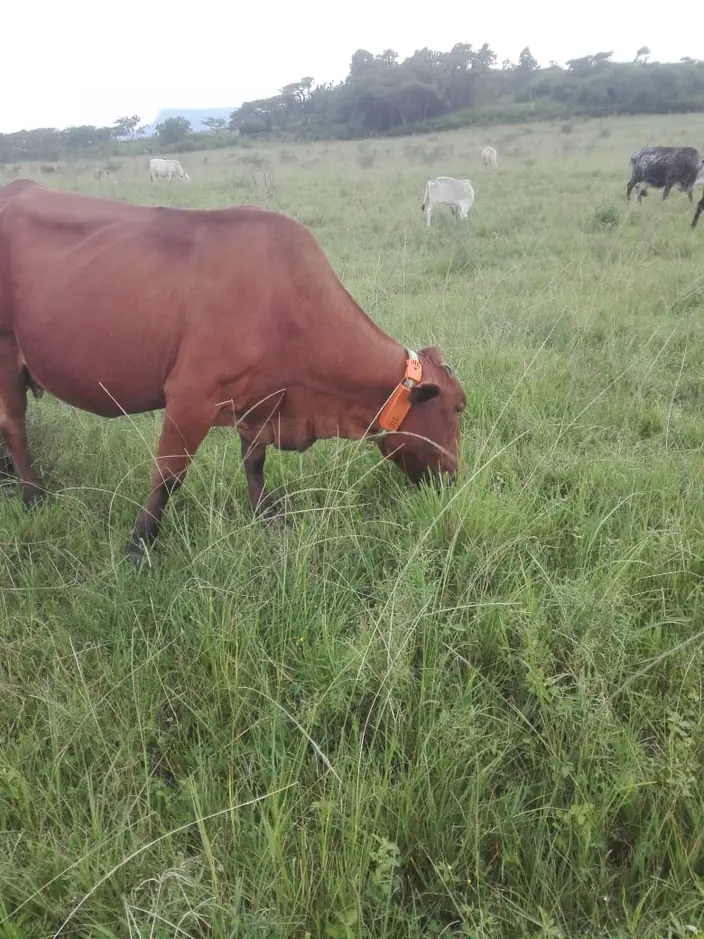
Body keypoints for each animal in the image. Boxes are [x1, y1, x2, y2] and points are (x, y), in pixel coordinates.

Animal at [0, 180, 466, 568]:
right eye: (459, 409)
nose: (455, 477)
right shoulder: (191, 397)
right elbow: (168, 474)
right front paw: (139, 546)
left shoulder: (260, 401)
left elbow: (254, 462)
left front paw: (267, 517)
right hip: (6, 356)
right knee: (14, 426)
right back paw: (33, 494)